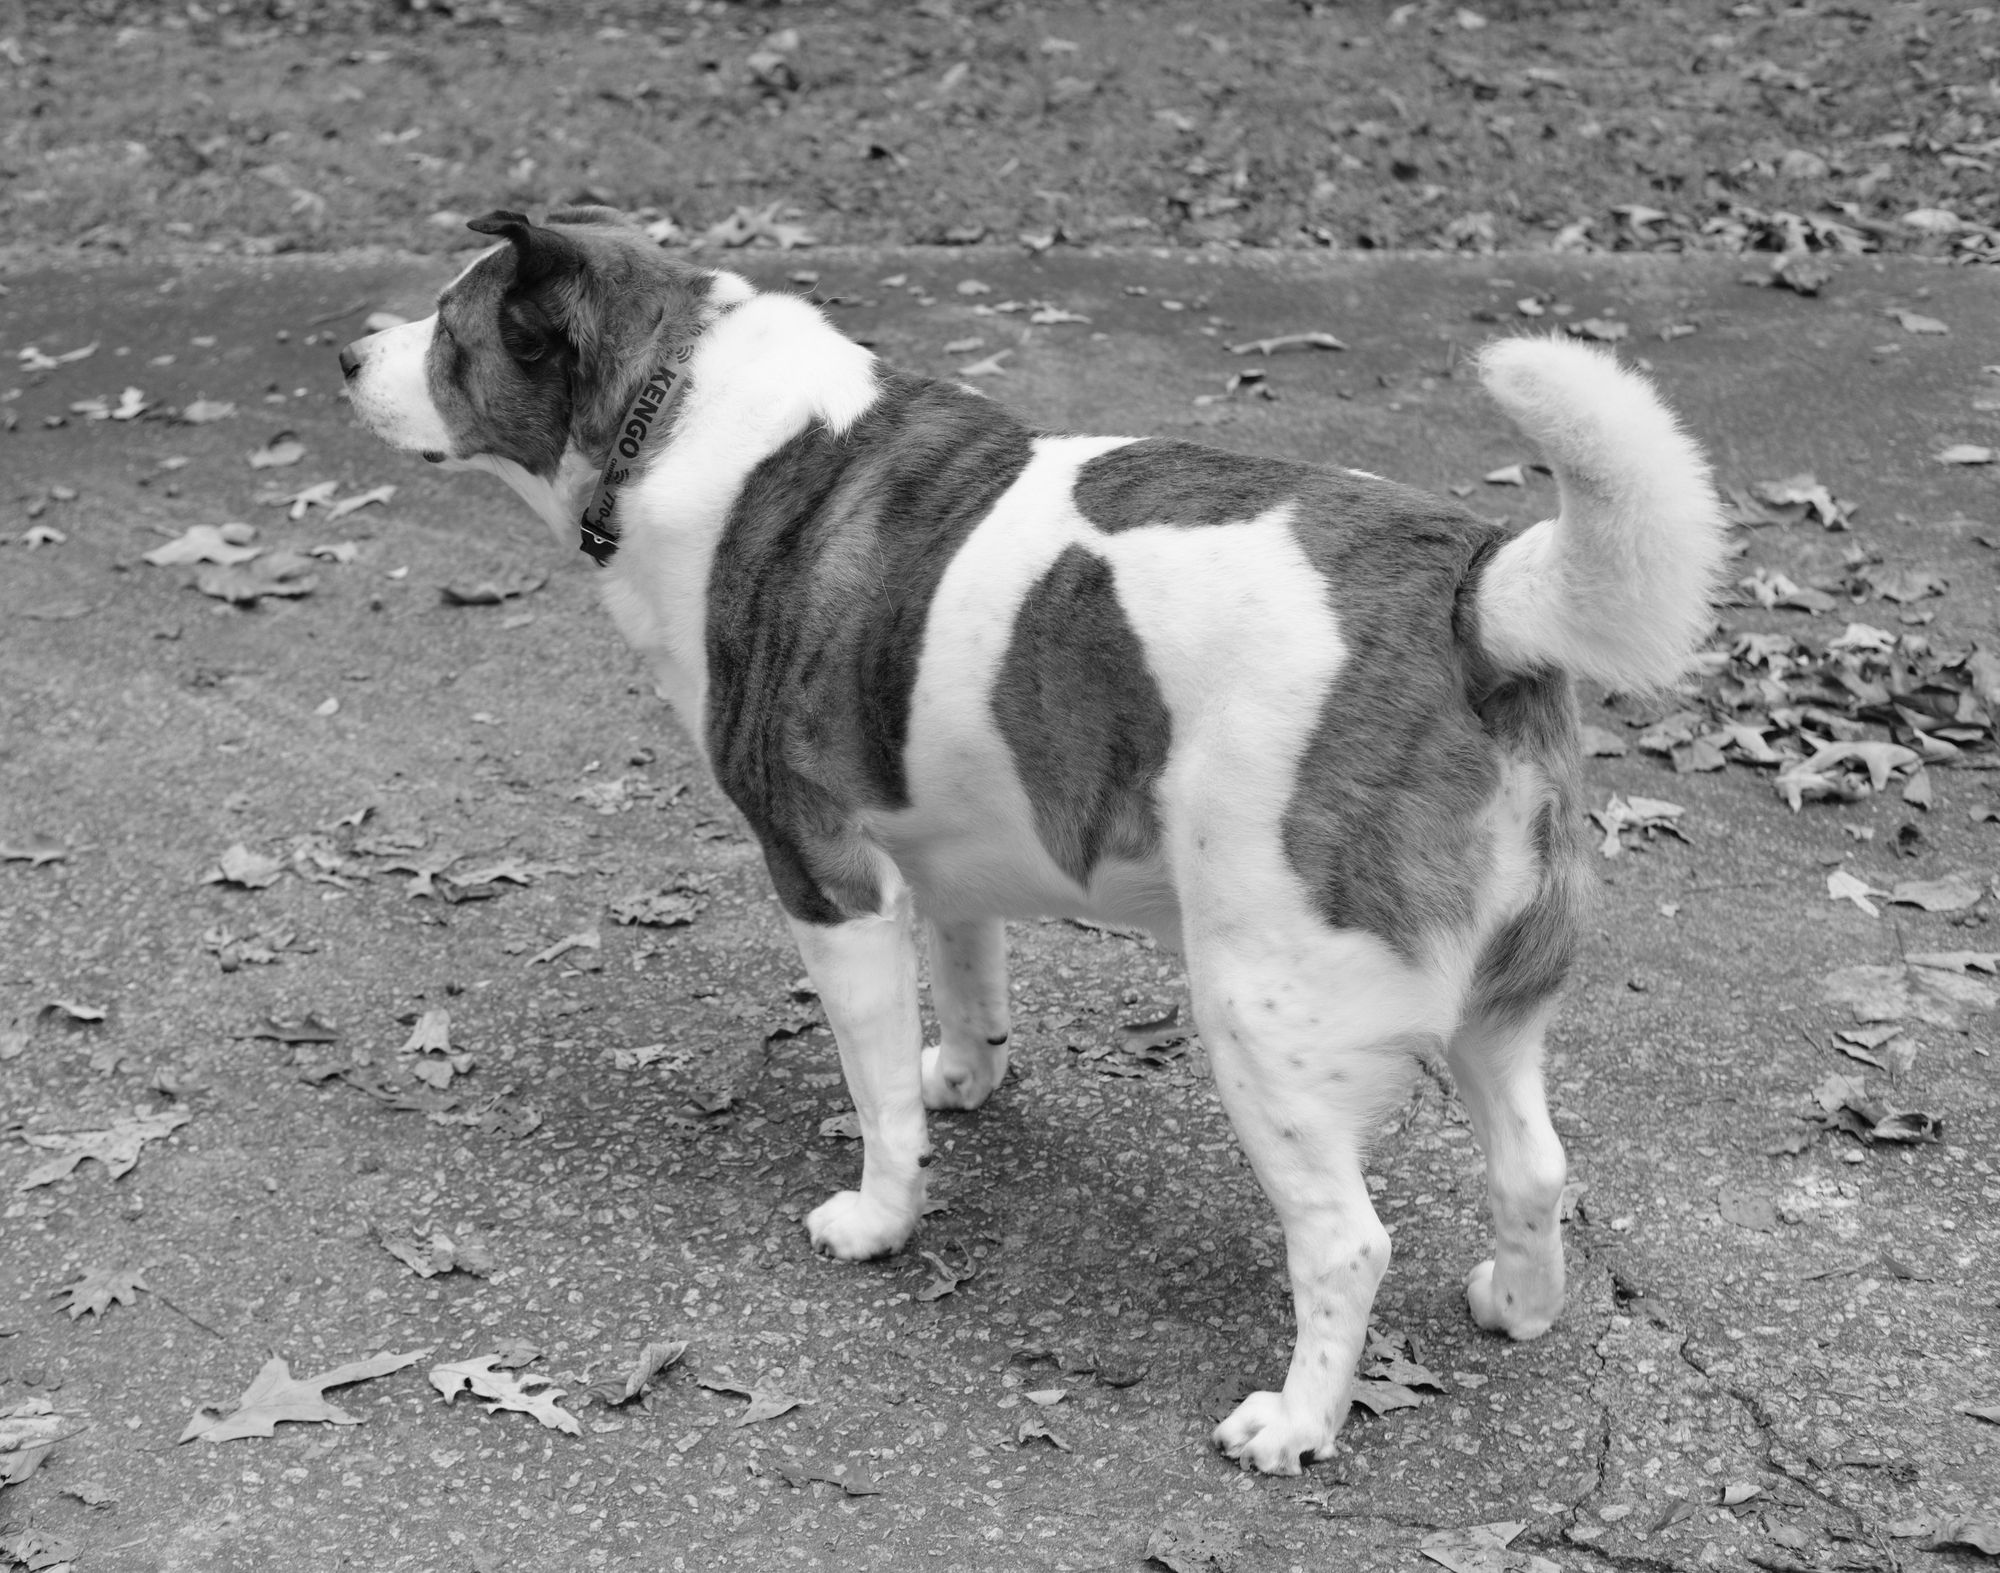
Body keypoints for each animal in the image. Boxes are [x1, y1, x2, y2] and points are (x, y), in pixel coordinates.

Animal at [336, 208, 1728, 1472]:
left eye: (453, 333)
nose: (349, 355)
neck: (671, 404)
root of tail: (1472, 594)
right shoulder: (944, 856)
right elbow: (965, 990)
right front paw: (965, 1077)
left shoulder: (824, 875)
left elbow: (876, 1090)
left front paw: (882, 1214)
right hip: (1496, 1009)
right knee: (1535, 1168)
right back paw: (1517, 1304)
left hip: (1258, 1012)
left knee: (1346, 1242)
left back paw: (1294, 1423)